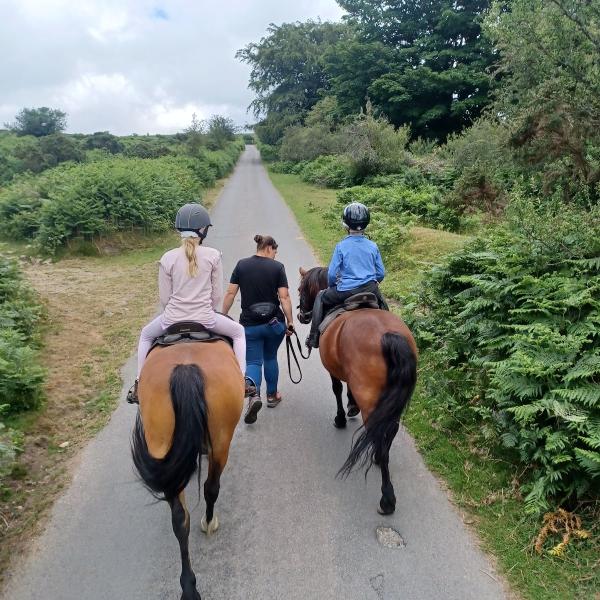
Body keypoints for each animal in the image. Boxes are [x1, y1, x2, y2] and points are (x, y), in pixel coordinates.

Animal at [132, 340, 244, 600]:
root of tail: (185, 368)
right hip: (221, 442)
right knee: (211, 489)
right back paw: (209, 522)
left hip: (161, 443)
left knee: (179, 518)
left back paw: (189, 586)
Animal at [296, 268, 418, 516]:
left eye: (301, 288)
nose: (302, 316)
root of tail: (389, 335)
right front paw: (351, 407)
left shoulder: (333, 370)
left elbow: (337, 389)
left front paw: (341, 418)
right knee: (389, 429)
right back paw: (378, 459)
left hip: (370, 397)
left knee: (379, 435)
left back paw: (387, 498)